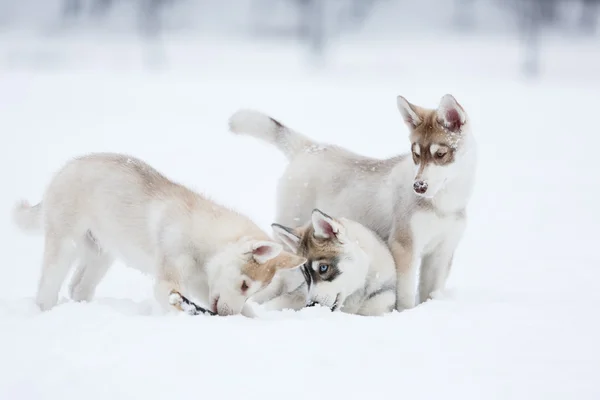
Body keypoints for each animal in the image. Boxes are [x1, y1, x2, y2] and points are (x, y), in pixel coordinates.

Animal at [10, 152, 304, 316]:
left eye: (251, 291)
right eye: (245, 285)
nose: (228, 315)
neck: (202, 240)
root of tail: (65, 168)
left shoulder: (202, 284)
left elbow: (248, 311)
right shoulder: (168, 281)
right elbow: (175, 301)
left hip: (101, 256)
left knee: (78, 287)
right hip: (64, 247)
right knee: (47, 290)